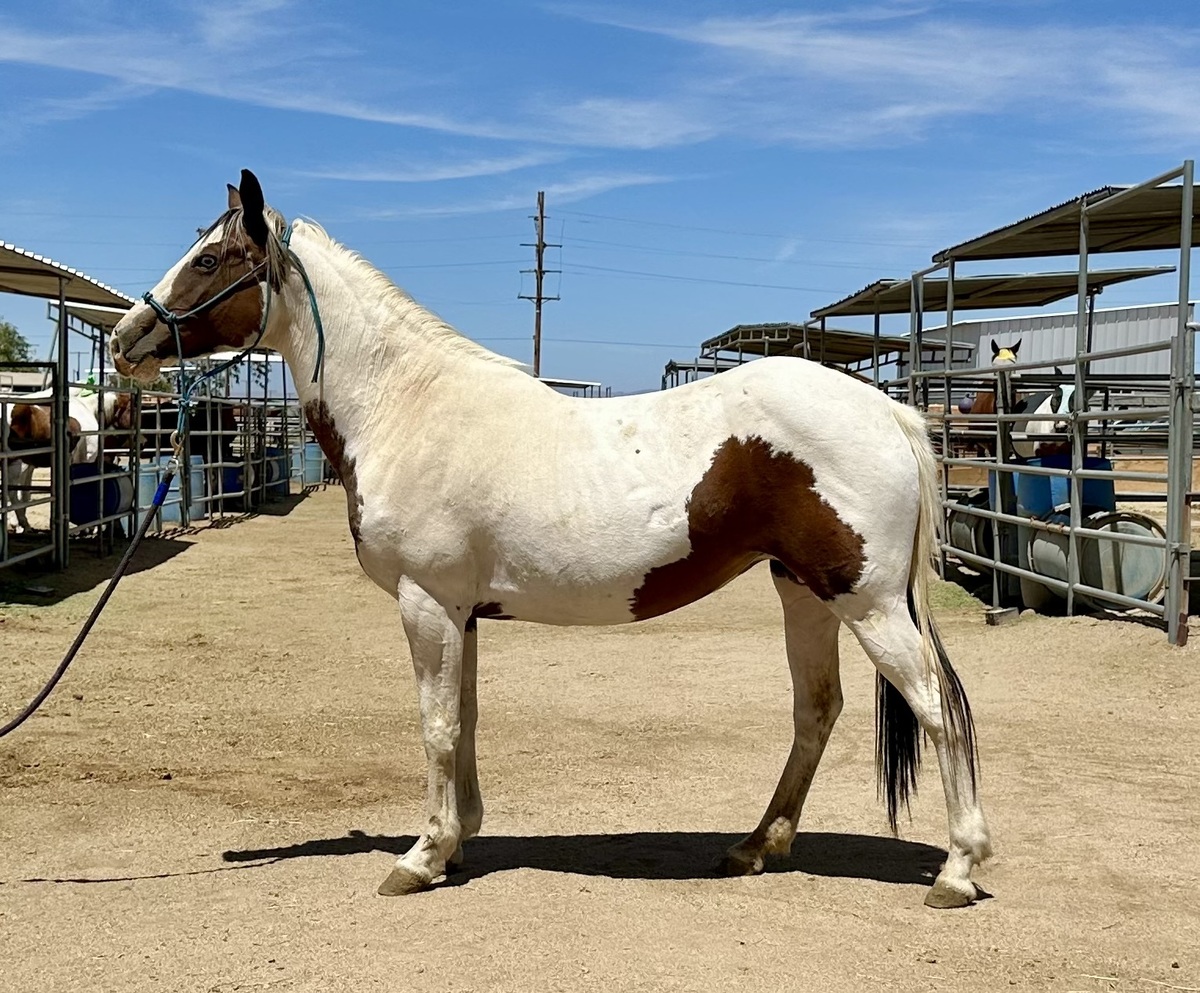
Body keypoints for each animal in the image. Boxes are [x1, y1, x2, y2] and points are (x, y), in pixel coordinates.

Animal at [110, 169, 990, 908]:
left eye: (209, 258)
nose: (125, 341)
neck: (408, 405)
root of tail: (890, 411)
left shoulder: (426, 604)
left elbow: (435, 724)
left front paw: (419, 857)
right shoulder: (459, 612)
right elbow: (464, 719)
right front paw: (457, 840)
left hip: (867, 601)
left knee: (938, 705)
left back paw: (956, 868)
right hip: (803, 590)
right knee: (817, 709)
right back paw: (754, 846)